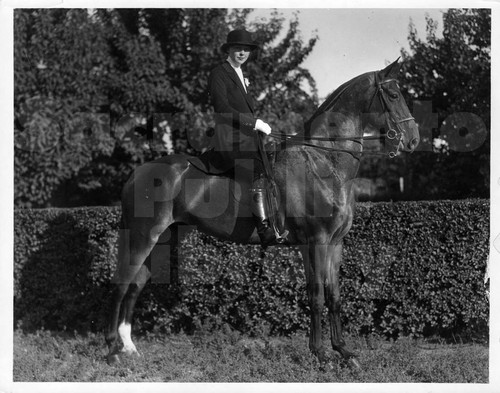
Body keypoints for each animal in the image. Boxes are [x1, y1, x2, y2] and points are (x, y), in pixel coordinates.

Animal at [106, 59, 422, 368]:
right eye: (394, 95)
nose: (414, 140)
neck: (324, 159)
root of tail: (138, 172)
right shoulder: (317, 241)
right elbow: (317, 296)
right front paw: (321, 354)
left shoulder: (332, 243)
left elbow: (332, 296)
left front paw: (343, 351)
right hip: (143, 236)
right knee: (121, 283)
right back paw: (112, 350)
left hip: (164, 239)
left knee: (135, 284)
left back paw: (130, 348)